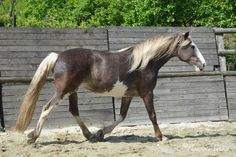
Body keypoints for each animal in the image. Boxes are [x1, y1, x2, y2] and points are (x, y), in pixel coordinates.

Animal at [14, 31, 206, 144]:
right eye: (192, 46)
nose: (203, 64)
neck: (144, 63)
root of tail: (58, 56)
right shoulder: (147, 93)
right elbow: (152, 115)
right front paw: (161, 137)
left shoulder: (128, 95)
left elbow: (121, 117)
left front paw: (101, 133)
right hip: (62, 91)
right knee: (47, 108)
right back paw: (33, 137)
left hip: (72, 91)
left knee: (74, 111)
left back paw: (90, 135)